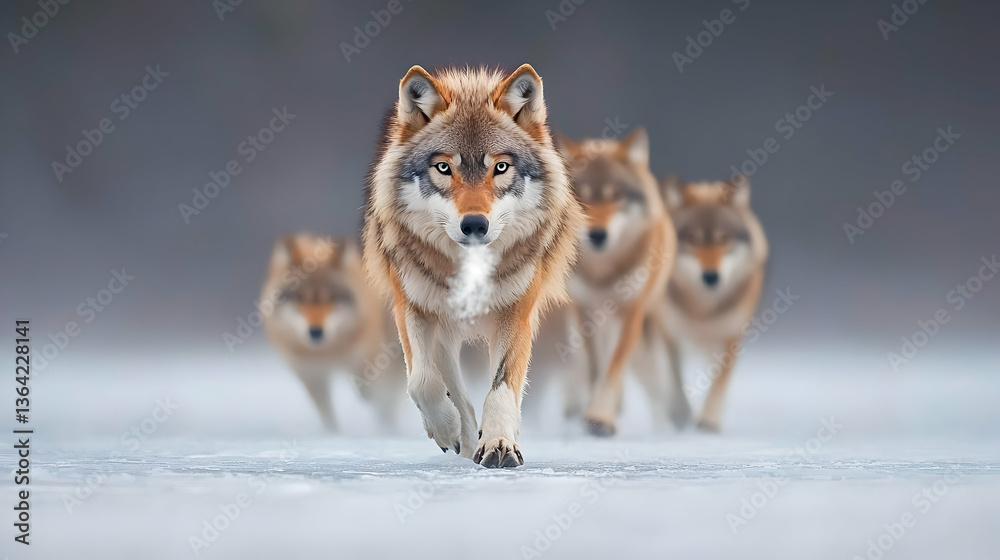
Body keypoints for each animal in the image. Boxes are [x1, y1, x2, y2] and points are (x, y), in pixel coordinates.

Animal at [261, 234, 404, 432]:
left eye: (330, 299)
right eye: (300, 299)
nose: (315, 331)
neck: (328, 353)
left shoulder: (368, 359)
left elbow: (368, 387)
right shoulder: (313, 376)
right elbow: (327, 415)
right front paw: (334, 434)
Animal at [362, 64, 583, 467]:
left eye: (500, 167)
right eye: (443, 167)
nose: (475, 225)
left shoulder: (517, 312)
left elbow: (501, 387)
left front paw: (499, 444)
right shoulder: (412, 306)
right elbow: (422, 381)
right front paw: (448, 429)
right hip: (441, 328)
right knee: (450, 387)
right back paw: (460, 439)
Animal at [555, 129, 683, 436]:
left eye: (616, 197)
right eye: (582, 197)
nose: (597, 235)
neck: (603, 273)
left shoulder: (630, 314)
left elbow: (611, 370)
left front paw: (601, 418)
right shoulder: (583, 312)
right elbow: (594, 369)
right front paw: (591, 415)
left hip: (651, 330)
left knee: (662, 382)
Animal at [659, 175, 768, 432]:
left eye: (723, 239)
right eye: (693, 240)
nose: (710, 276)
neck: (703, 309)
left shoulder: (731, 338)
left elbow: (720, 382)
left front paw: (709, 421)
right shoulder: (669, 333)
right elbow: (674, 377)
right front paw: (680, 414)